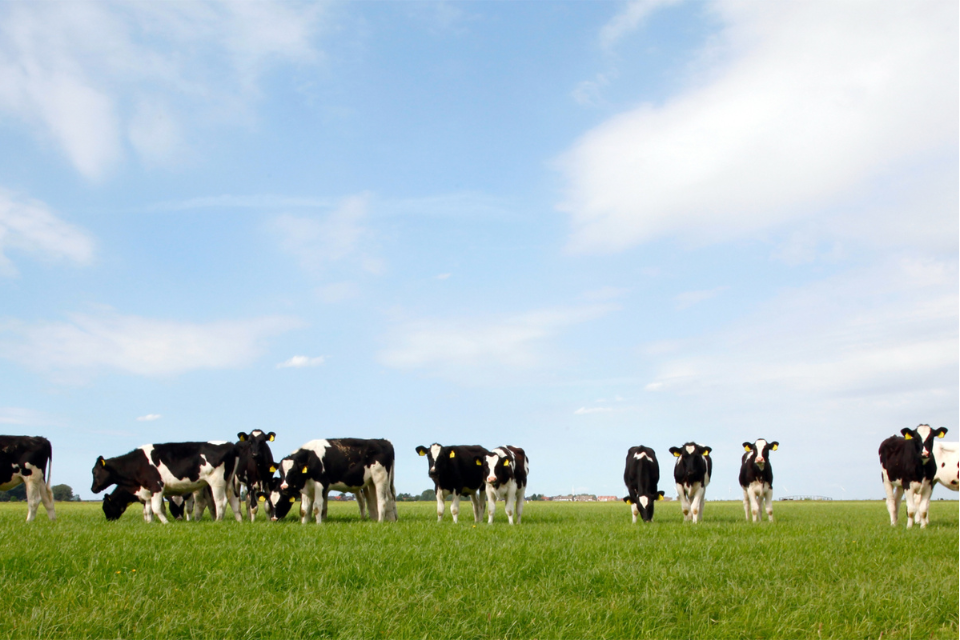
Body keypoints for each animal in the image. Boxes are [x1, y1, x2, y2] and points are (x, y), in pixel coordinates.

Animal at [92, 442, 242, 524]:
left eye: (94, 472)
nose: (92, 489)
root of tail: (230, 444)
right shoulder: (148, 491)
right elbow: (150, 509)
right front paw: (151, 523)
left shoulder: (156, 486)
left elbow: (156, 508)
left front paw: (165, 522)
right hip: (229, 482)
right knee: (234, 500)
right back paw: (239, 520)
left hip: (217, 482)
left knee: (220, 501)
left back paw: (218, 521)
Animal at [268, 438, 397, 524]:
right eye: (281, 471)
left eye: (293, 471)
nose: (284, 486)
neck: (311, 457)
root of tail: (383, 441)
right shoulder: (305, 488)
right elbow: (304, 509)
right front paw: (304, 524)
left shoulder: (320, 484)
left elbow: (317, 506)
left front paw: (318, 525)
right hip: (372, 483)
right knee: (384, 500)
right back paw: (389, 520)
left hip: (380, 478)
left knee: (382, 501)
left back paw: (380, 522)